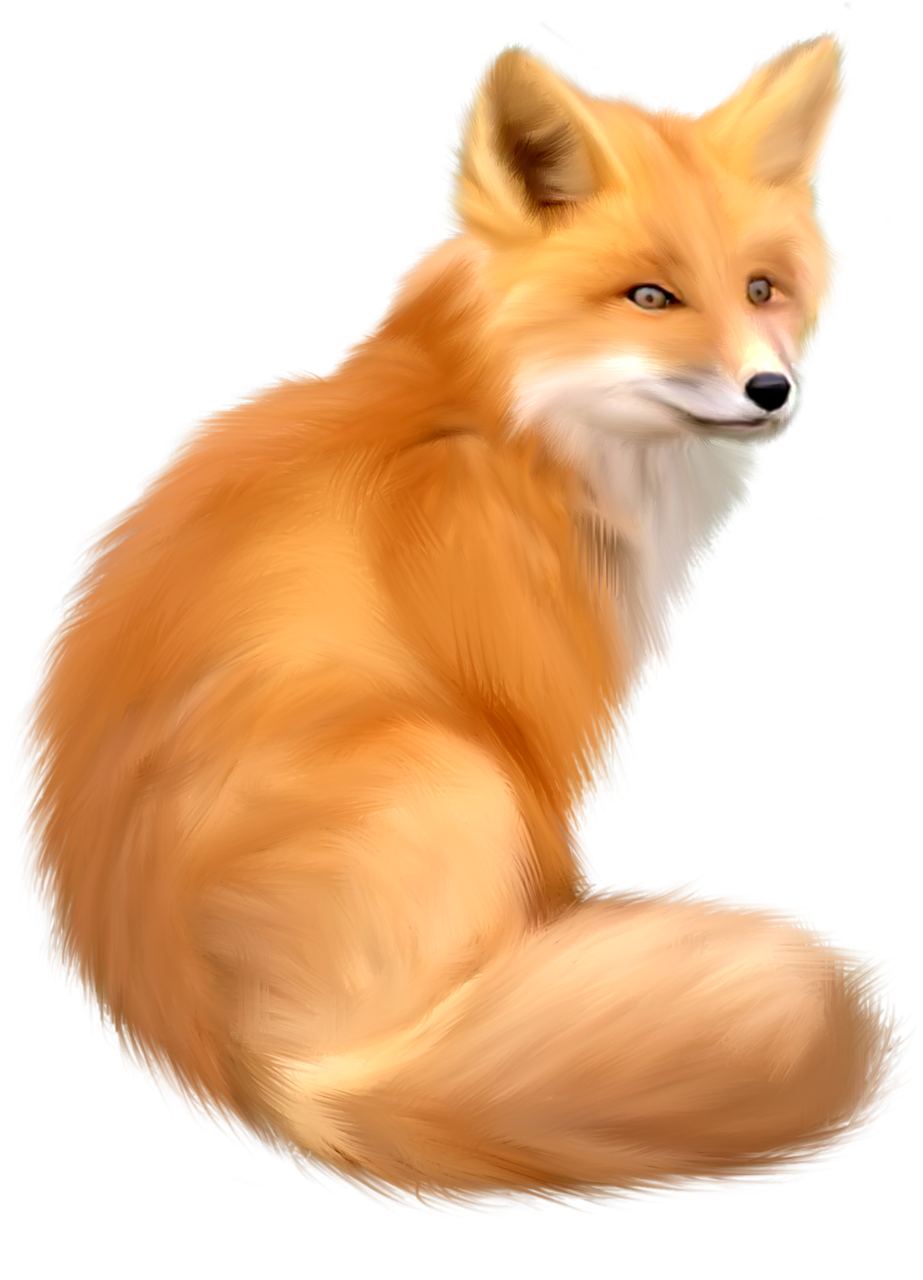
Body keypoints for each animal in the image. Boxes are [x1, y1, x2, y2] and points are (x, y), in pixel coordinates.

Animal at [6, 38, 918, 1220]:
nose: (769, 389)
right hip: (453, 770)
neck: (513, 419)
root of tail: (255, 1083)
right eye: (650, 296)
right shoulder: (536, 716)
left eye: (760, 287)